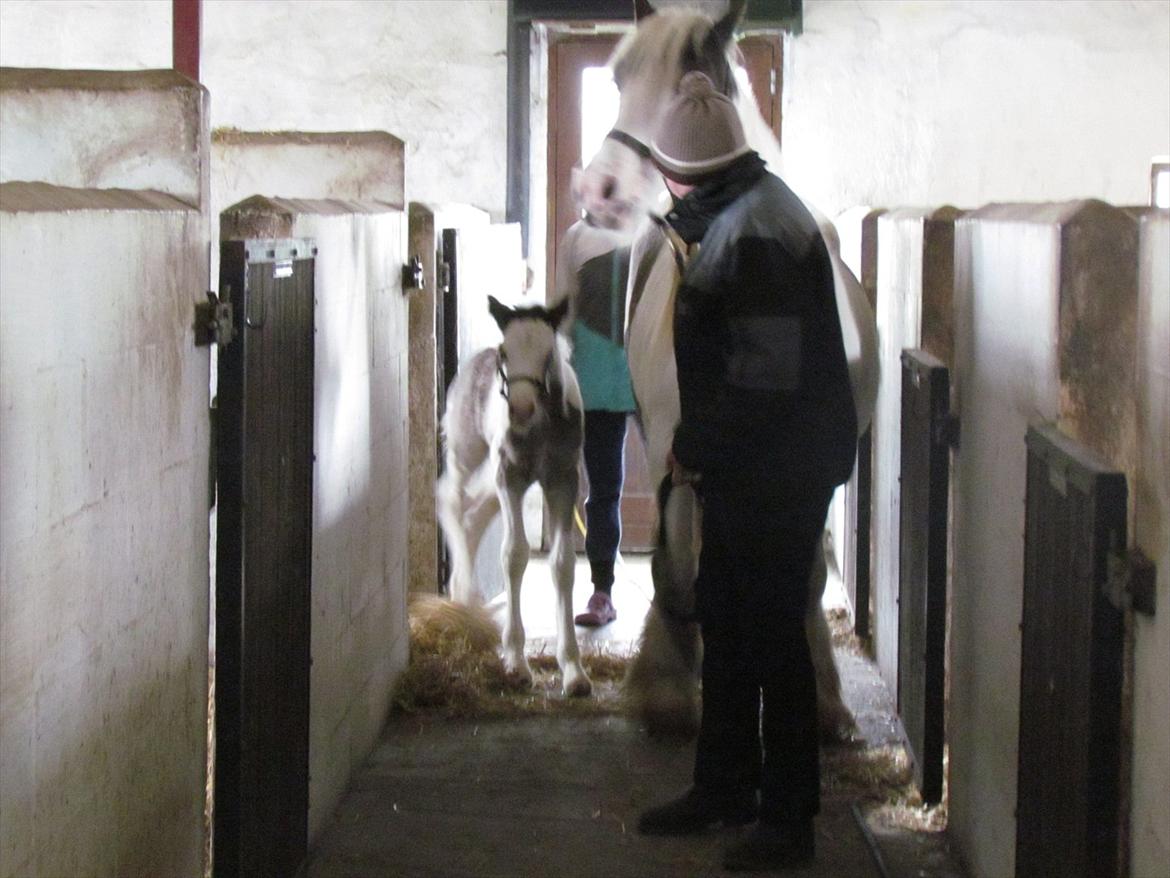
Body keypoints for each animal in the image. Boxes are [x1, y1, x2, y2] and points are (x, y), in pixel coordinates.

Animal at [435, 299, 594, 697]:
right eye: (506, 353)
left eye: (548, 354)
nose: (520, 408)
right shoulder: (511, 478)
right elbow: (514, 554)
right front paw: (517, 663)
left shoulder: (562, 480)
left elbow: (563, 563)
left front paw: (573, 671)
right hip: (468, 451)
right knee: (450, 497)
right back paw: (463, 590)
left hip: (494, 475)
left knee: (475, 513)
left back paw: (464, 598)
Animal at [570, 0, 879, 744]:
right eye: (618, 76)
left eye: (689, 77)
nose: (599, 190)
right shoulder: (679, 454)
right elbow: (686, 568)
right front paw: (677, 692)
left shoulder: (817, 466)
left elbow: (804, 577)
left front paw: (824, 701)